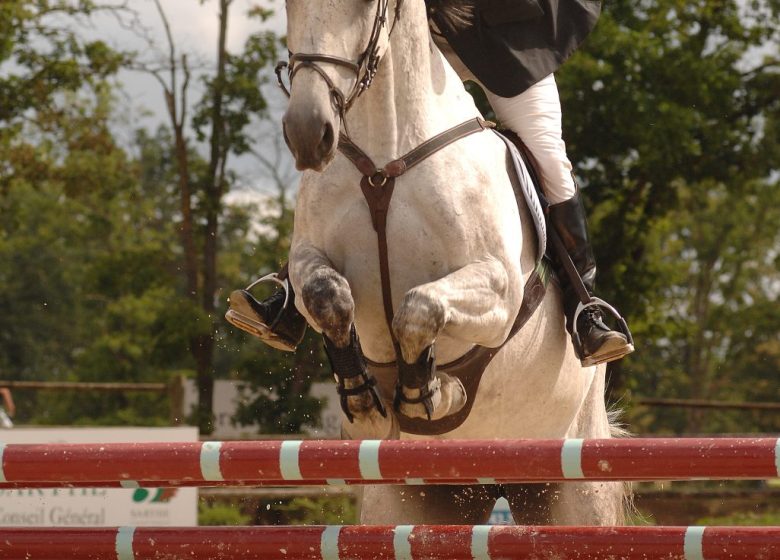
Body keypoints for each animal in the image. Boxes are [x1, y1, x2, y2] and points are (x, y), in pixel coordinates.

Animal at [279, 0, 626, 526]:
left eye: (364, 6)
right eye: (289, 7)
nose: (306, 131)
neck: (386, 159)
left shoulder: (498, 290)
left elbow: (418, 308)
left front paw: (431, 394)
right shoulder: (308, 260)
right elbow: (328, 297)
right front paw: (365, 401)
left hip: (577, 487)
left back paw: (595, 329)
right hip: (414, 501)